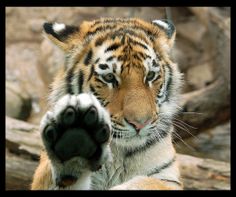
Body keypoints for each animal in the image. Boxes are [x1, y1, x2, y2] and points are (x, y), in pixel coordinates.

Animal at [30, 17, 183, 190]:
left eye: (150, 75)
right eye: (109, 77)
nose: (140, 124)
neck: (118, 154)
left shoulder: (168, 178)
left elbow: (145, 182)